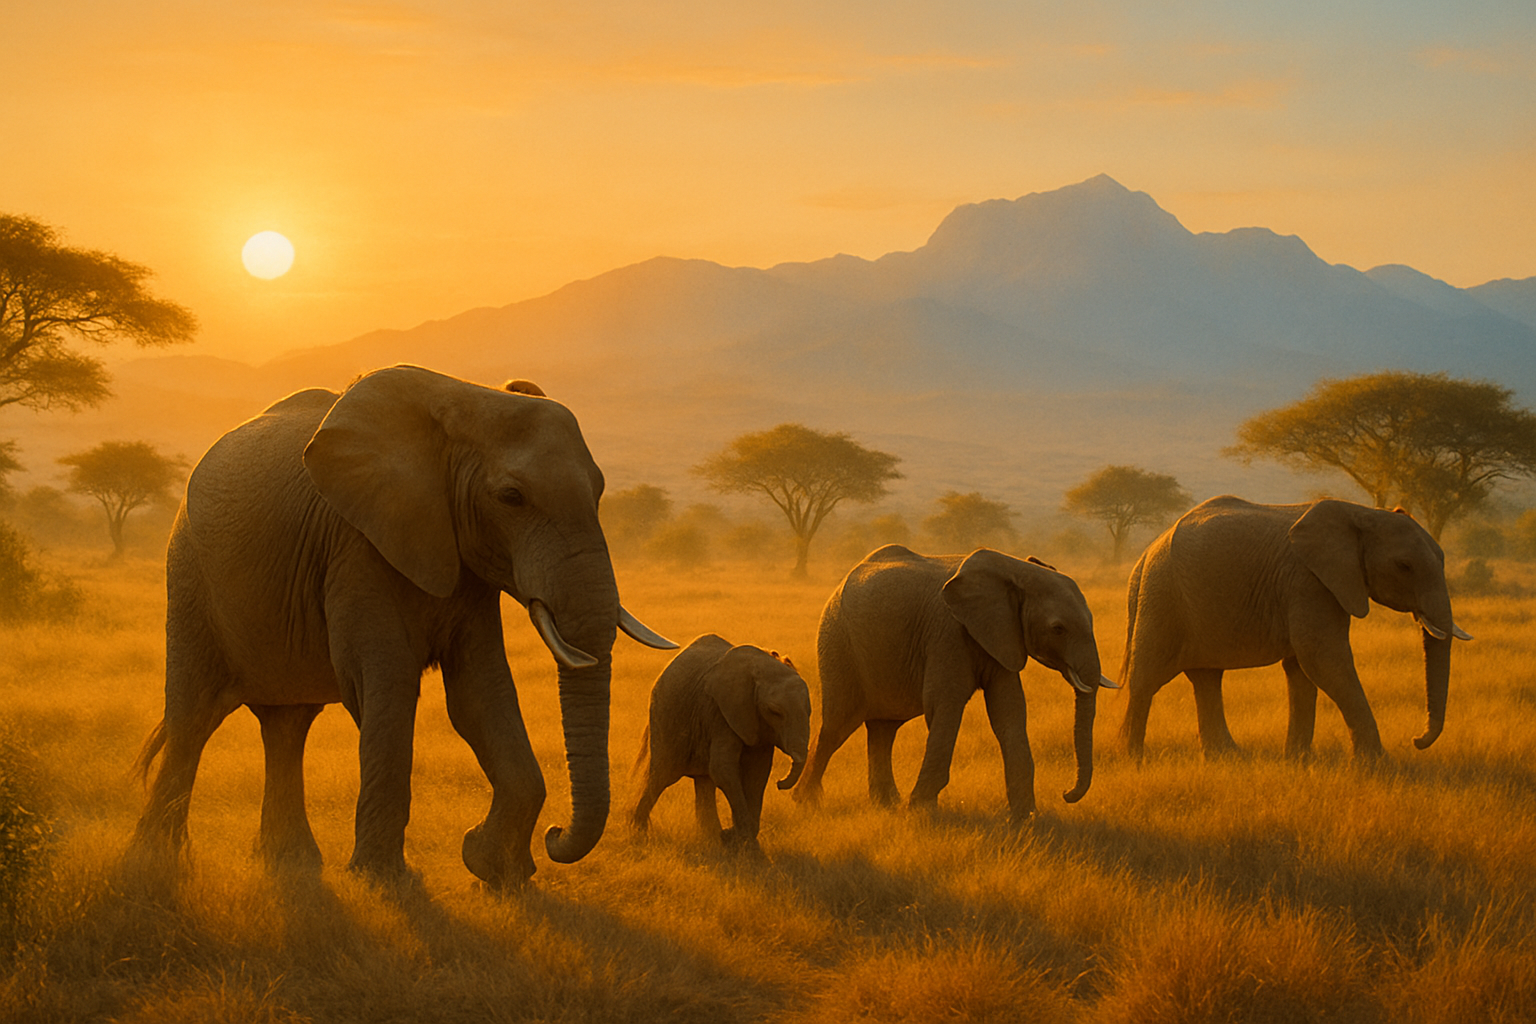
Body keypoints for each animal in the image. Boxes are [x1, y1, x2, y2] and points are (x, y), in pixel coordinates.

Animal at [130, 365, 676, 888]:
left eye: (600, 492)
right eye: (511, 497)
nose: (556, 834)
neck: (466, 397)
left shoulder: (463, 565)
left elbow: (480, 695)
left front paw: (495, 869)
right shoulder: (357, 545)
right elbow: (385, 686)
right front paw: (387, 880)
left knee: (287, 725)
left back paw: (292, 866)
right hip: (189, 574)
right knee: (193, 716)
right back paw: (156, 864)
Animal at [630, 634, 812, 850]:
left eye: (810, 711)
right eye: (775, 712)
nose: (780, 783)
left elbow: (757, 773)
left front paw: (734, 837)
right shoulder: (721, 710)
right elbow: (723, 769)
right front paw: (741, 840)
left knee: (703, 782)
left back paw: (710, 838)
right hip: (664, 714)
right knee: (661, 776)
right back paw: (638, 834)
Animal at [792, 545, 1115, 821]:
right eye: (1058, 629)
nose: (1066, 793)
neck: (1014, 568)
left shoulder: (1002, 635)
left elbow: (1008, 713)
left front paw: (1025, 819)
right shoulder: (947, 632)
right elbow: (945, 705)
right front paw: (920, 810)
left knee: (884, 728)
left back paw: (887, 805)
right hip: (837, 639)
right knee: (837, 726)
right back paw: (806, 802)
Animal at [1119, 496, 1472, 760]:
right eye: (1404, 566)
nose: (1416, 740)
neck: (1363, 512)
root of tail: (1144, 556)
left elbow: (1302, 669)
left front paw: (1299, 760)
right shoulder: (1308, 580)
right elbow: (1323, 659)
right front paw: (1376, 764)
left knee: (1206, 678)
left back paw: (1228, 757)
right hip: (1161, 595)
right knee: (1146, 680)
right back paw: (1132, 759)